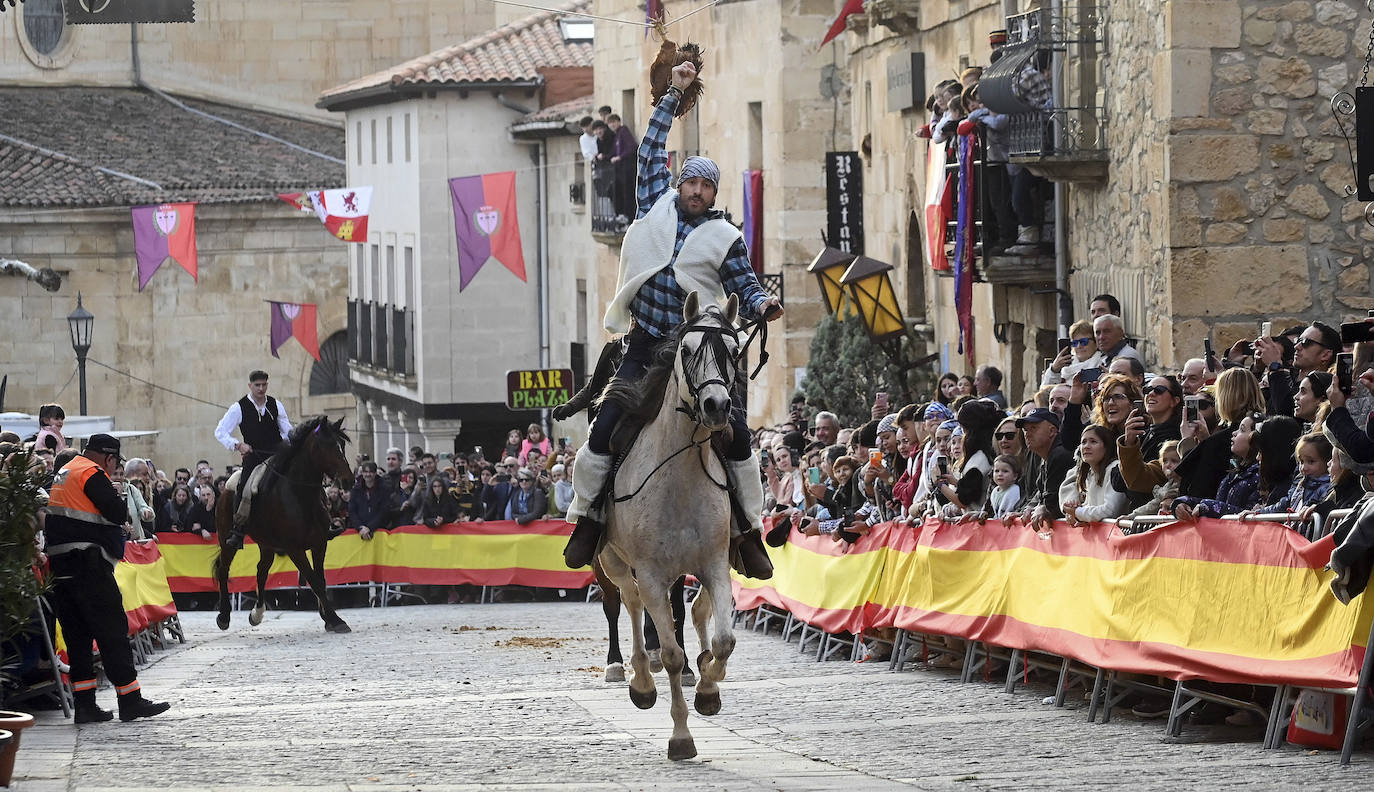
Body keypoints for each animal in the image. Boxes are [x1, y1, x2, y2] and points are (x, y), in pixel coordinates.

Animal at [211, 418, 354, 635]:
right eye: (326, 445)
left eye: (342, 445)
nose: (349, 481)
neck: (300, 496)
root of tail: (225, 488)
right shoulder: (295, 549)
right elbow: (314, 581)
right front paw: (335, 619)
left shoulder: (319, 544)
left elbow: (321, 580)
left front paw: (328, 618)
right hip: (227, 540)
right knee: (223, 569)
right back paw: (224, 616)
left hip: (266, 544)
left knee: (261, 571)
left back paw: (257, 614)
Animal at [599, 292, 747, 759]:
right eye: (687, 349)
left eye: (734, 350)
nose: (717, 406)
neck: (679, 474)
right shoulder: (650, 573)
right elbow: (670, 654)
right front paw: (681, 736)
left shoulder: (715, 565)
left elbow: (723, 641)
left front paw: (709, 692)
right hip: (612, 561)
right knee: (627, 602)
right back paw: (638, 680)